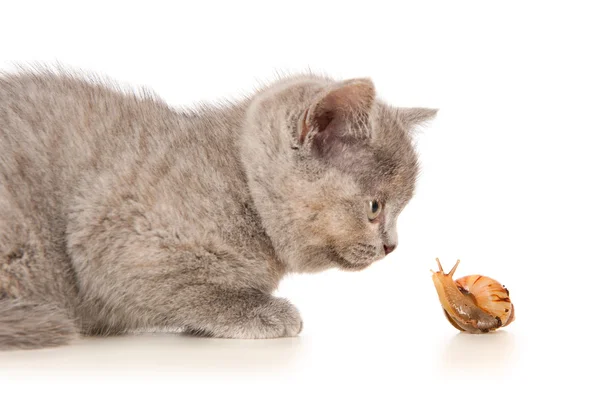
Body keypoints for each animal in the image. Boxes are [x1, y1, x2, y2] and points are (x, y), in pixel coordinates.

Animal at [1, 68, 436, 350]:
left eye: (399, 209)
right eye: (375, 207)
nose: (392, 246)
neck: (239, 185)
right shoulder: (112, 239)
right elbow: (192, 287)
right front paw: (259, 311)